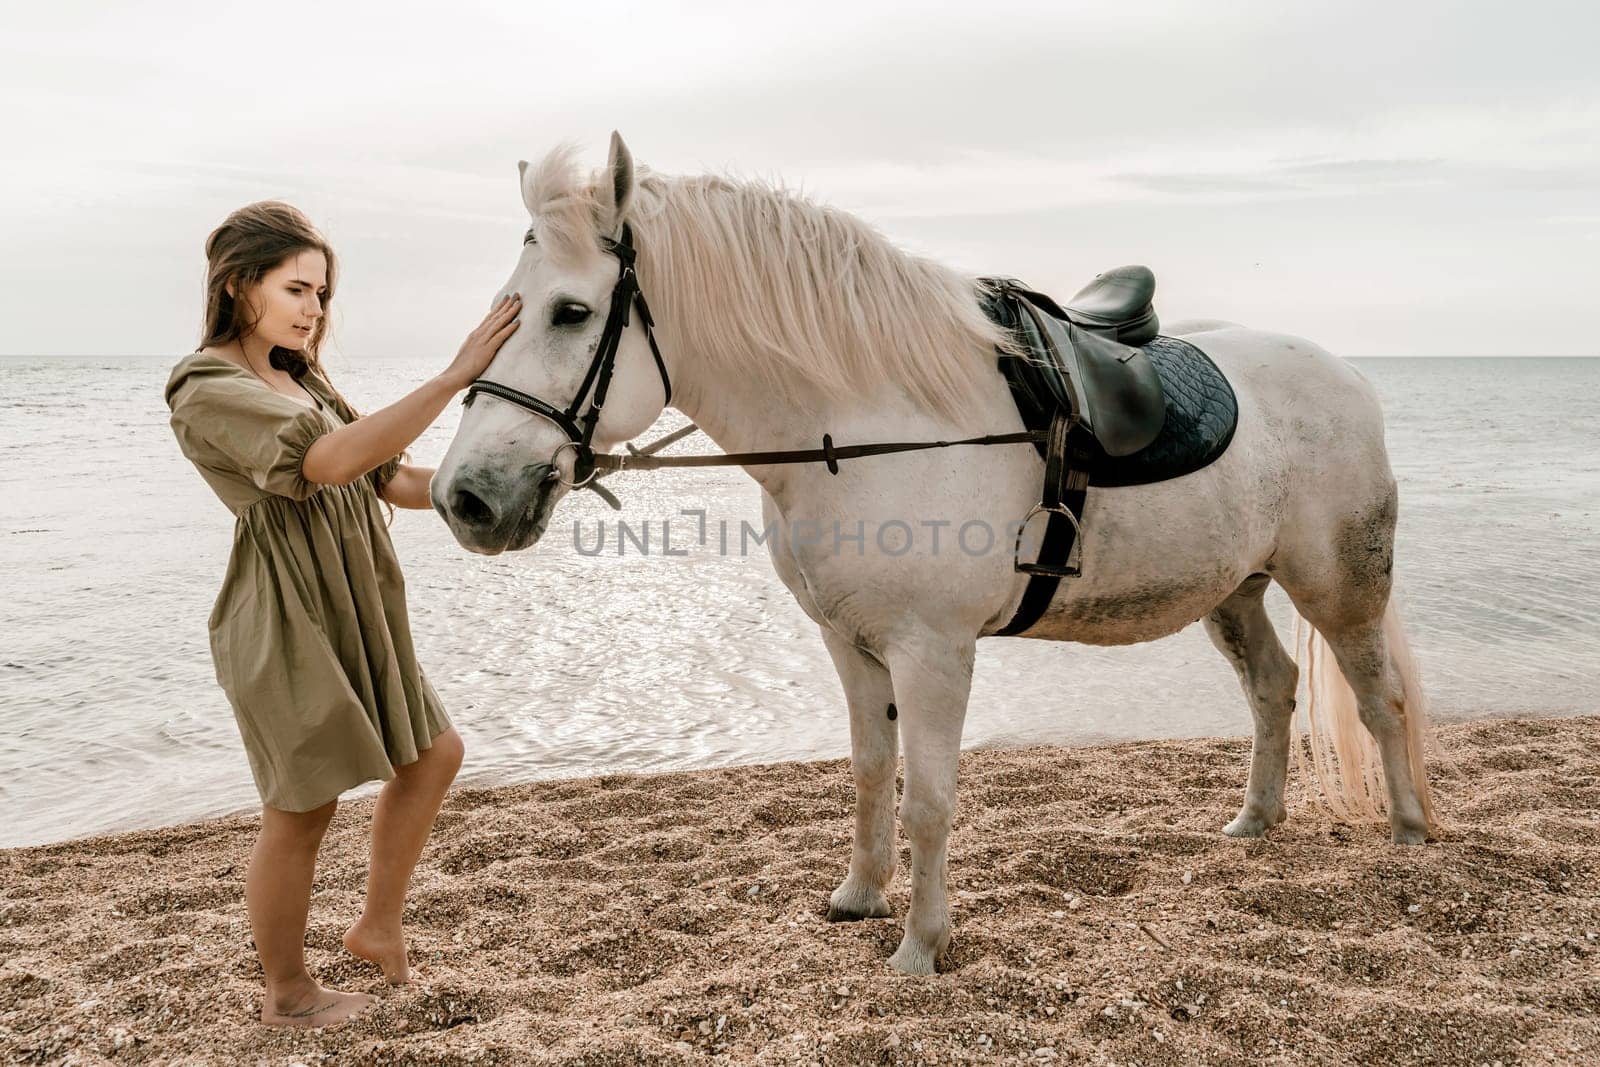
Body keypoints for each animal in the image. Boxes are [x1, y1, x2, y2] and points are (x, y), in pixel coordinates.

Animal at [435, 133, 1440, 979]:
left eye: (572, 311)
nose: (466, 498)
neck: (869, 422)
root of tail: (1347, 376)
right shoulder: (850, 643)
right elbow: (869, 773)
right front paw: (859, 896)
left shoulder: (933, 651)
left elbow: (927, 797)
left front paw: (921, 945)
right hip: (1233, 589)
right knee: (1272, 686)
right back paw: (1255, 819)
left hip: (1338, 586)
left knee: (1378, 695)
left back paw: (1408, 830)